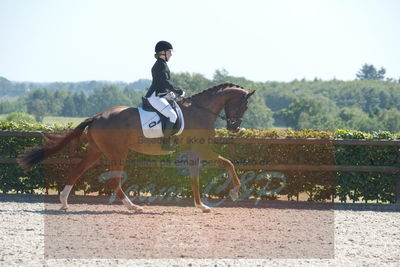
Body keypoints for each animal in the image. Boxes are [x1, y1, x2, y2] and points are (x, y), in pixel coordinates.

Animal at [18, 84, 255, 214]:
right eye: (243, 105)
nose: (234, 128)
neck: (201, 110)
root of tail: (97, 116)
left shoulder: (194, 152)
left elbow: (194, 177)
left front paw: (201, 206)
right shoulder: (202, 149)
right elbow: (228, 164)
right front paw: (234, 192)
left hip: (96, 151)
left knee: (78, 170)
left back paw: (64, 202)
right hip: (117, 153)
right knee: (114, 179)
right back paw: (133, 207)